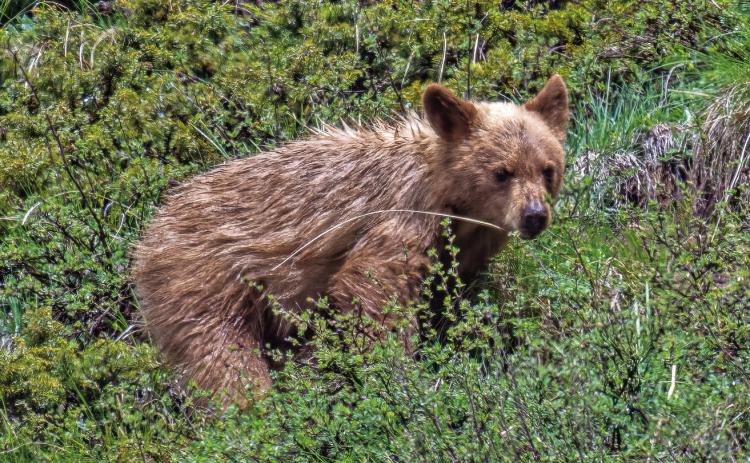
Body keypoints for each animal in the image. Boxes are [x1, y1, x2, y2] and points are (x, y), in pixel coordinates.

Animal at [132, 75, 570, 404]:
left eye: (547, 169)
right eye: (502, 172)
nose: (534, 216)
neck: (453, 199)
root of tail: (151, 232)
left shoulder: (470, 243)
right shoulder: (404, 212)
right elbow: (373, 286)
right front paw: (396, 373)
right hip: (200, 280)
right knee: (222, 358)